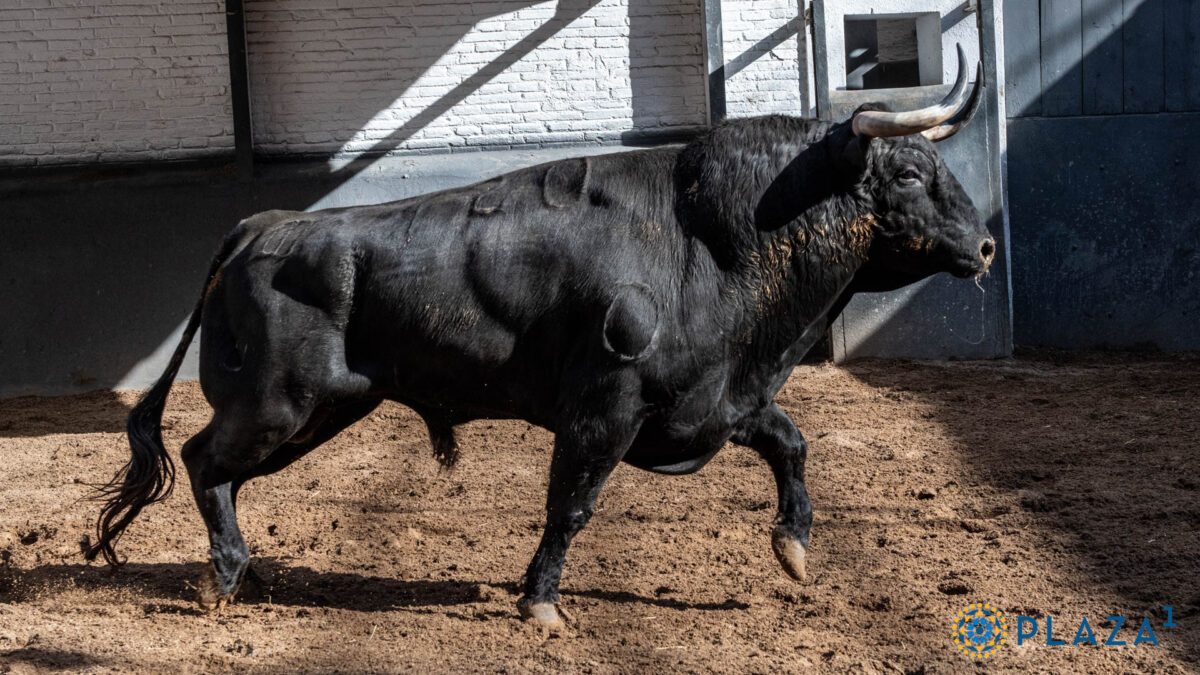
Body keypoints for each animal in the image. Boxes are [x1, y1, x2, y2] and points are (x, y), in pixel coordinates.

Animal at [87, 60, 993, 629]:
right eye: (908, 174)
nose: (985, 246)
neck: (713, 237)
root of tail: (264, 225)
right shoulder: (604, 410)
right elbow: (573, 502)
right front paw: (542, 601)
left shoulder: (716, 398)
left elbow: (790, 442)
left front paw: (795, 548)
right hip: (279, 403)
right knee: (203, 458)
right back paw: (224, 577)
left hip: (317, 412)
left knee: (219, 471)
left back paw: (244, 571)